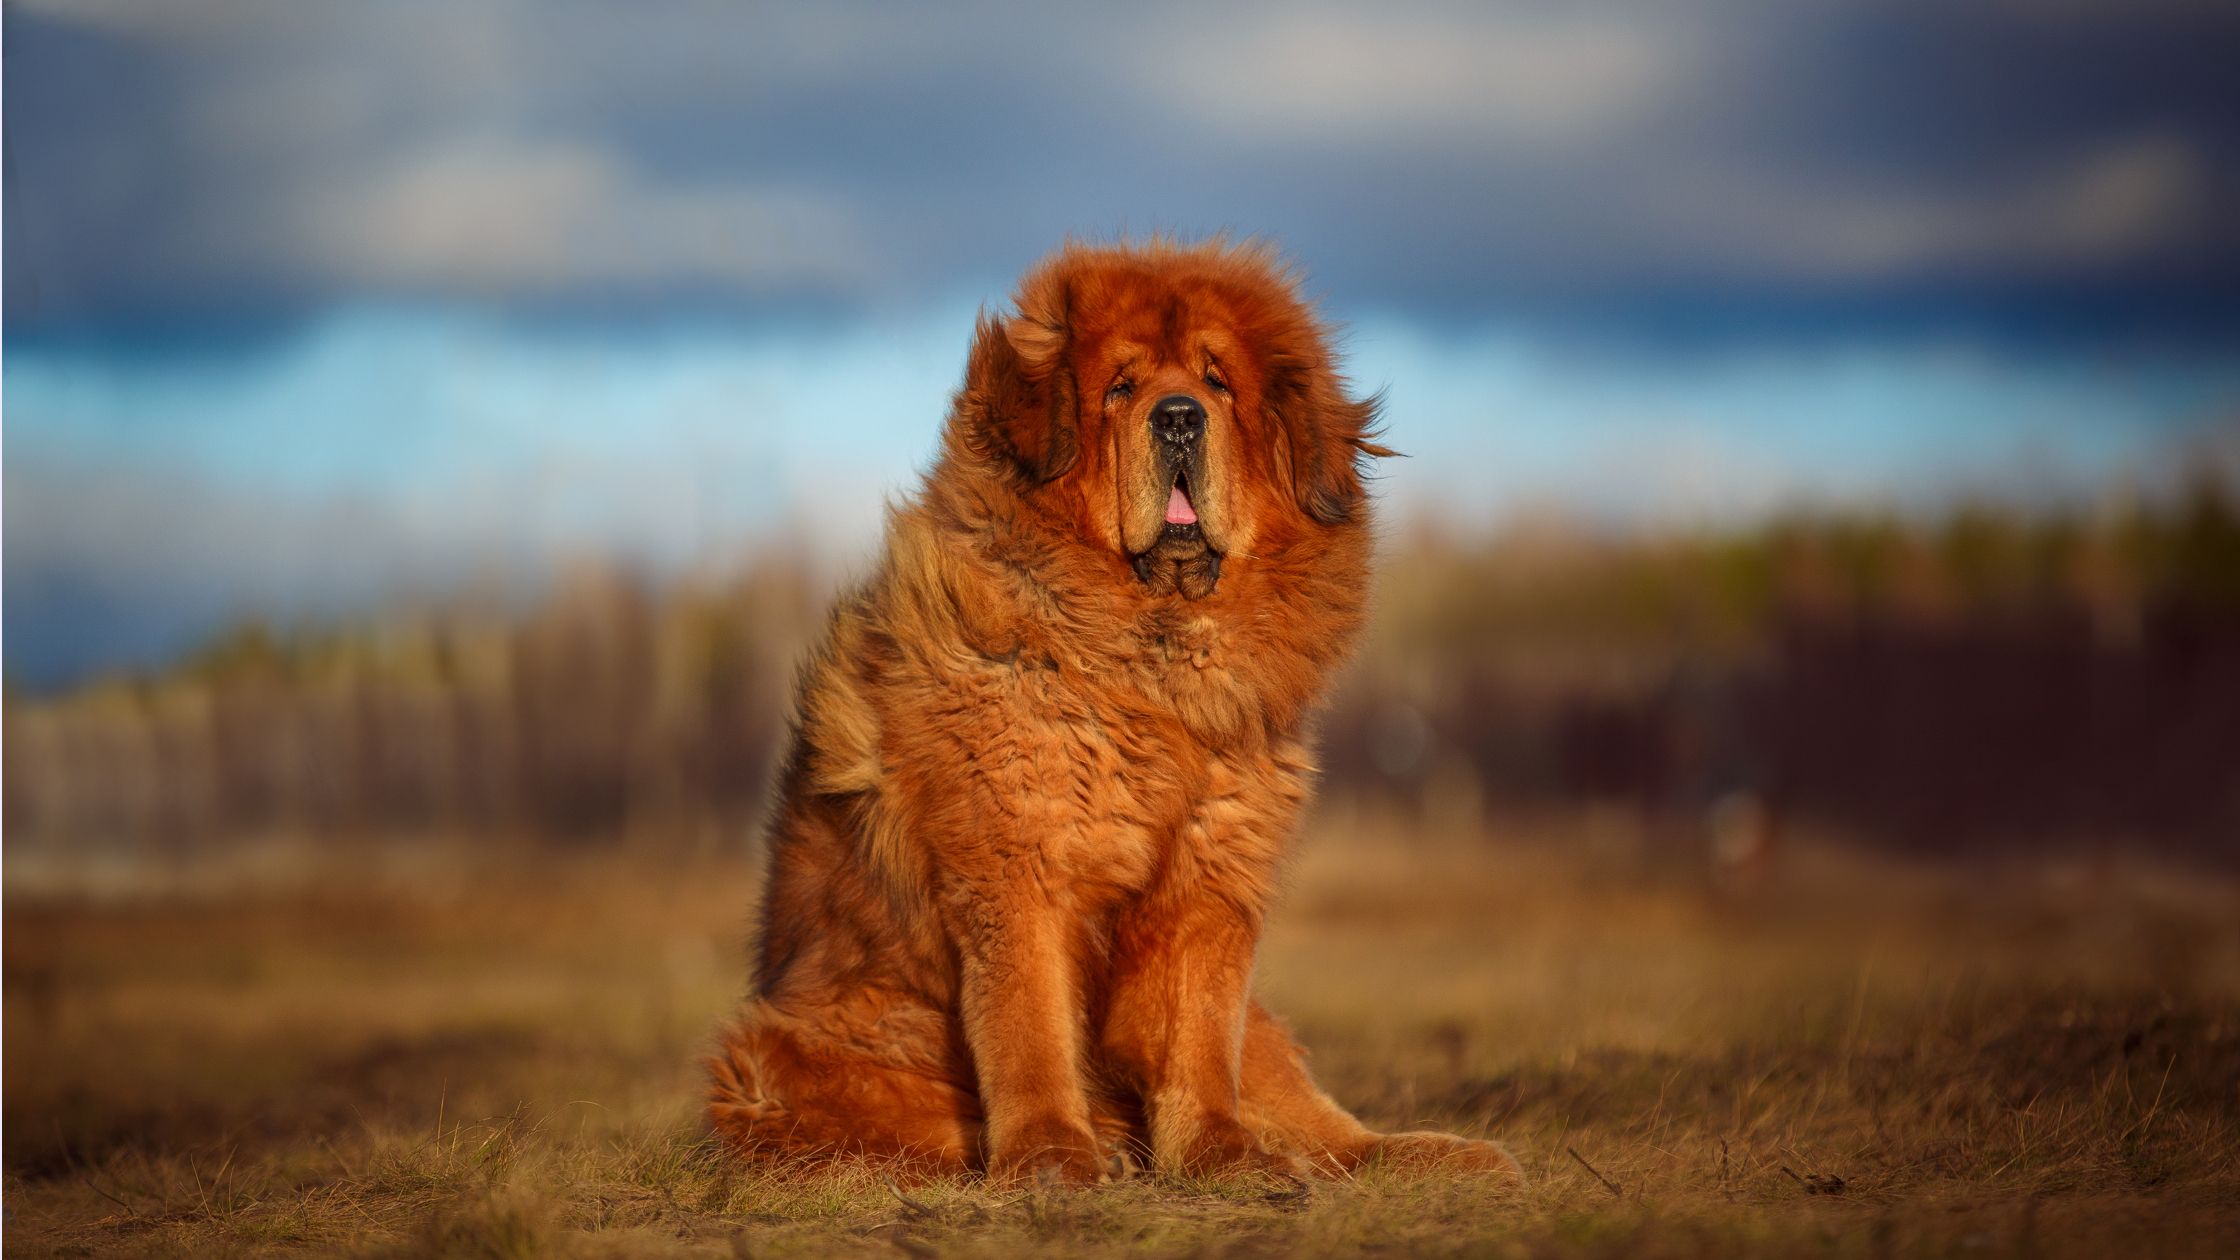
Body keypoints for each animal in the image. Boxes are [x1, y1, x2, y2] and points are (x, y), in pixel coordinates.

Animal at [712, 235, 1523, 1174]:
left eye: (1216, 383)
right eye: (1120, 388)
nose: (1178, 419)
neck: (1150, 672)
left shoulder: (1209, 879)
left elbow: (1197, 1035)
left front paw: (1219, 1155)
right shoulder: (1018, 866)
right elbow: (1030, 1026)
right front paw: (1051, 1156)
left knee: (1326, 1126)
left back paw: (1437, 1156)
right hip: (784, 1056)